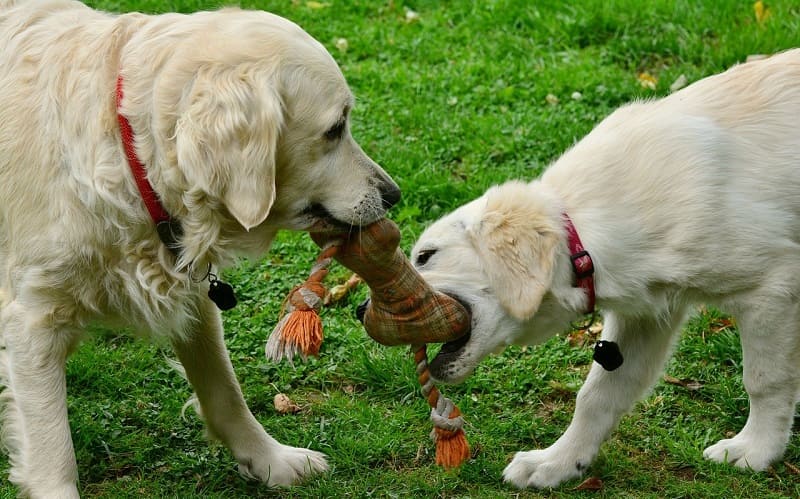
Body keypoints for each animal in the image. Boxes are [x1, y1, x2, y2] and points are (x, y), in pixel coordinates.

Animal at [0, 1, 400, 498]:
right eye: (335, 129)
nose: (393, 195)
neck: (129, 152)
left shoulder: (193, 296)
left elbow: (224, 391)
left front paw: (272, 460)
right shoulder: (33, 320)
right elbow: (53, 448)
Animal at [412, 49, 800, 488]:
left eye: (426, 255)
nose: (369, 310)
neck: (583, 235)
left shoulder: (771, 287)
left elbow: (765, 380)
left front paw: (756, 451)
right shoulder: (647, 315)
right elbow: (597, 395)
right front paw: (558, 463)